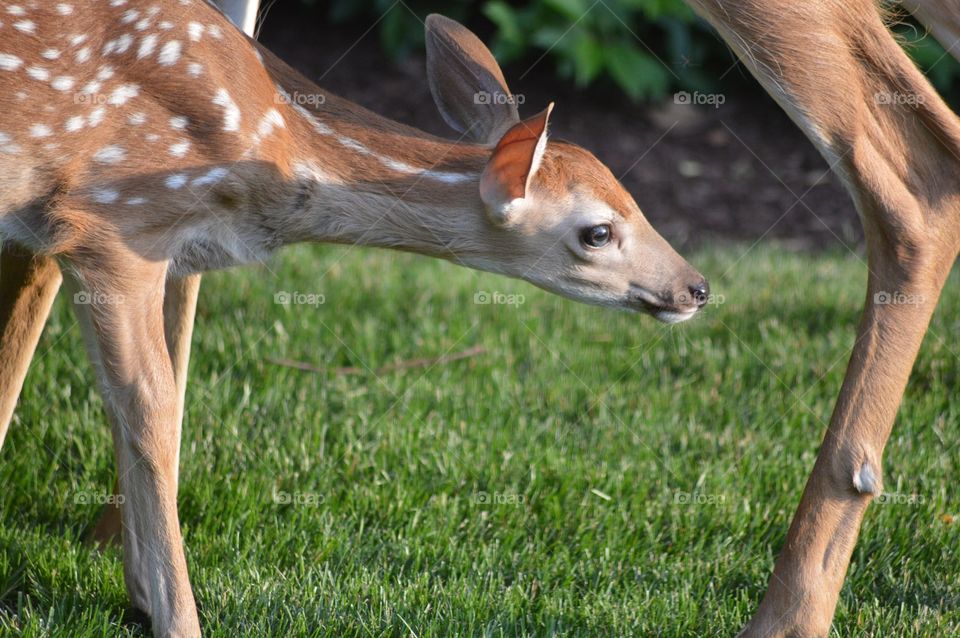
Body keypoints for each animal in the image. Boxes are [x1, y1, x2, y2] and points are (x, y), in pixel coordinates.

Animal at [0, 2, 708, 636]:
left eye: (633, 196)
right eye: (598, 232)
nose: (696, 288)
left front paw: (140, 595)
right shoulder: (112, 224)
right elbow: (152, 407)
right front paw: (176, 618)